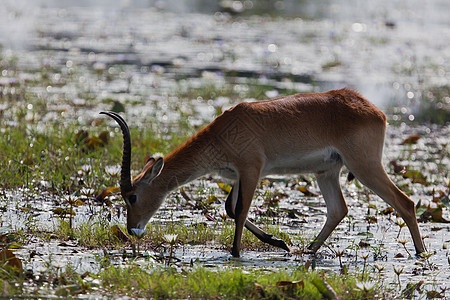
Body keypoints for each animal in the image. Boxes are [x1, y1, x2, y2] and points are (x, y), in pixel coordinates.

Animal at [101, 87, 426, 258]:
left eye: (131, 196)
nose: (132, 229)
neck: (223, 133)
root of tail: (375, 110)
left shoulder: (251, 169)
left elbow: (240, 210)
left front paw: (235, 253)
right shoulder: (237, 176)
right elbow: (230, 209)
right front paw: (279, 242)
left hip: (364, 166)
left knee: (405, 203)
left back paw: (421, 255)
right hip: (327, 172)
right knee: (338, 209)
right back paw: (308, 251)